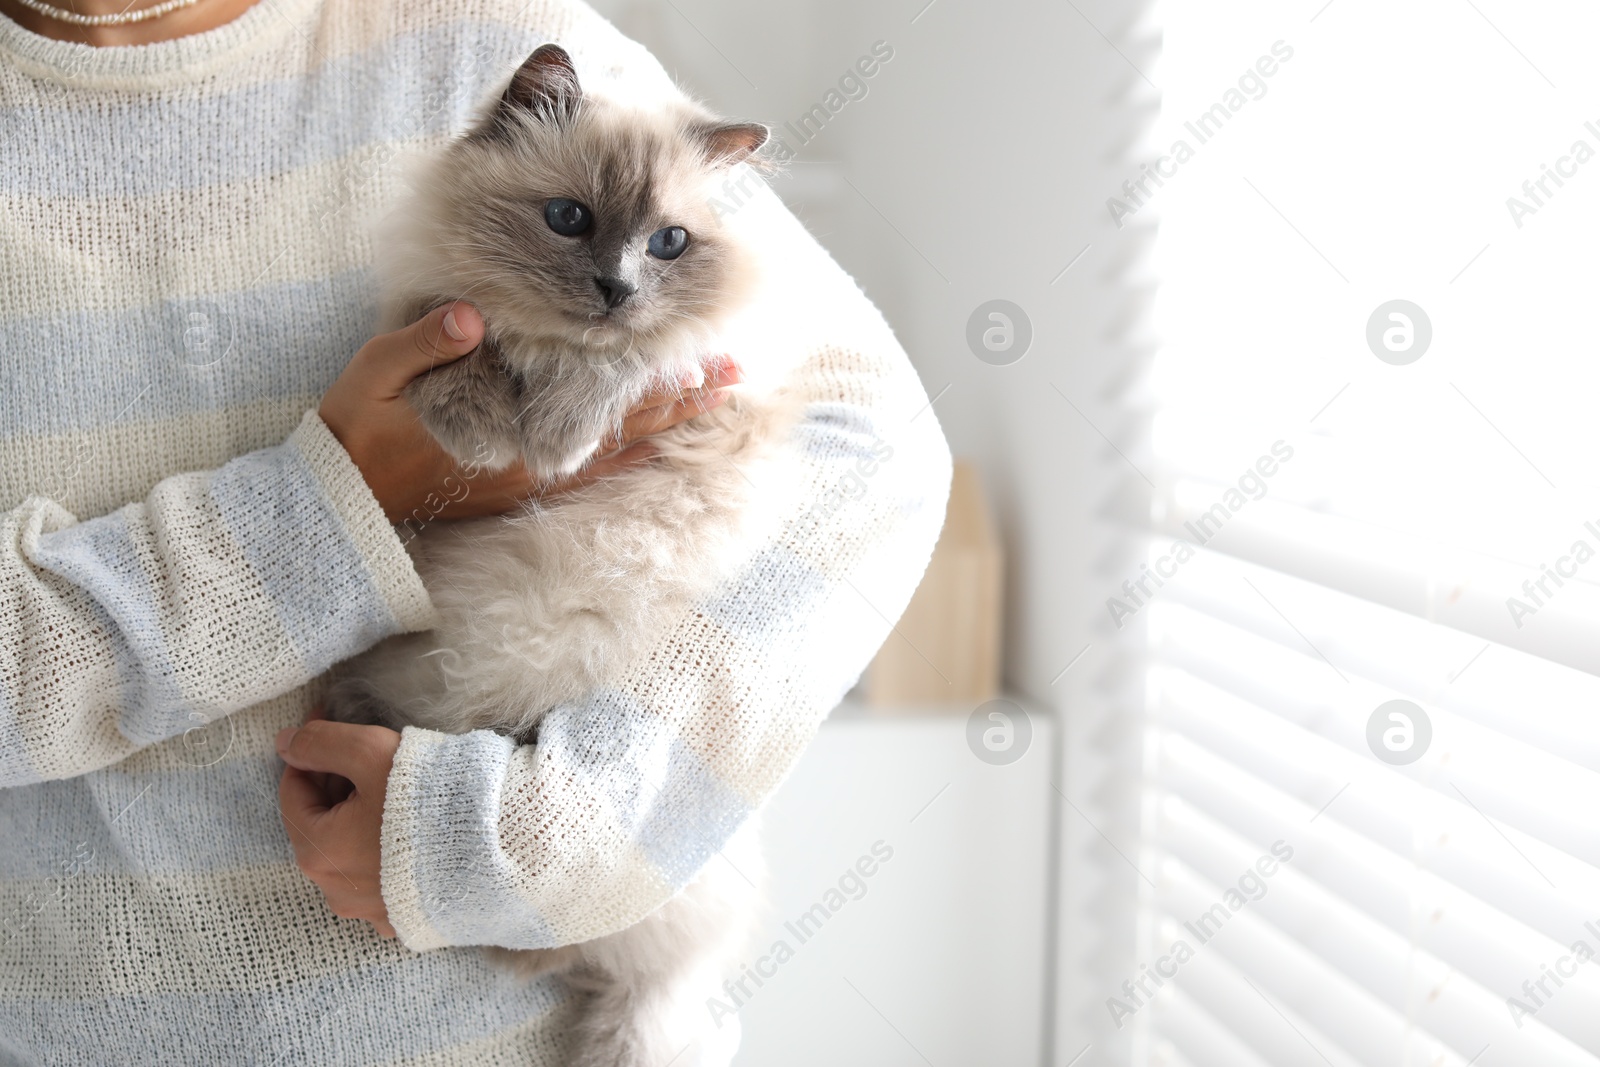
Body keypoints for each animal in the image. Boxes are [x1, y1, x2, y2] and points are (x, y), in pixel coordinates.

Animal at [328, 43, 800, 1067]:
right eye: (569, 220)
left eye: (668, 244)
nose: (616, 290)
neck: (544, 348)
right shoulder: (424, 310)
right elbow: (460, 349)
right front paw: (479, 433)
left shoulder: (711, 387)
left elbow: (620, 363)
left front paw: (555, 438)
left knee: (546, 948)